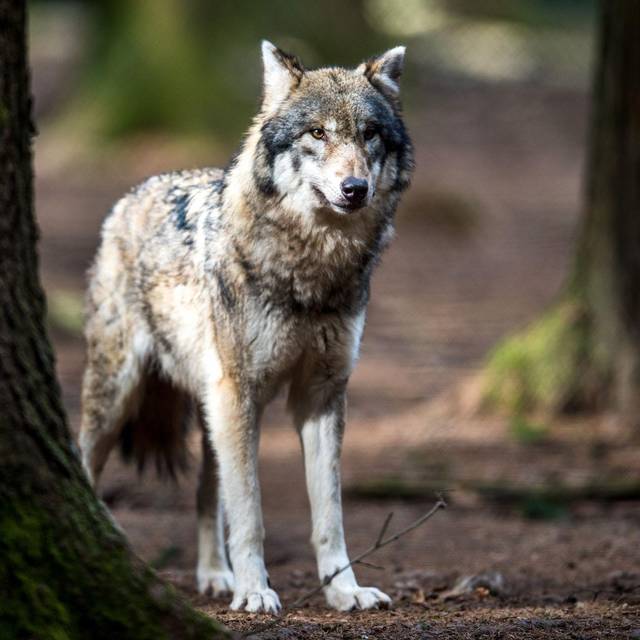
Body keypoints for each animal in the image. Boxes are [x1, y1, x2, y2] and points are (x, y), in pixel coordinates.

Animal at [79, 41, 413, 614]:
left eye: (369, 133)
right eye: (317, 133)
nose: (355, 189)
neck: (311, 271)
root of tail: (134, 193)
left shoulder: (321, 396)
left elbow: (330, 515)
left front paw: (344, 591)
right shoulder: (241, 393)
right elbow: (251, 513)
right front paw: (256, 591)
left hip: (212, 408)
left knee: (205, 494)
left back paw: (216, 575)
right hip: (122, 396)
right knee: (83, 463)